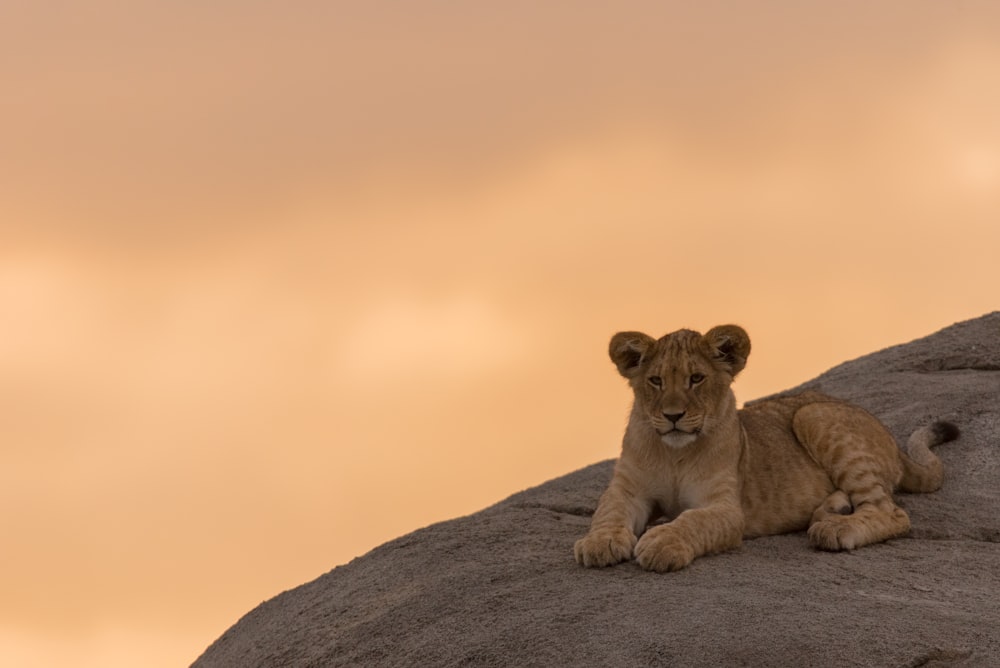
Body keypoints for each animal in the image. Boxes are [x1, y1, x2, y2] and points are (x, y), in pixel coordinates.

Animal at [580, 326, 960, 572]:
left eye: (696, 379)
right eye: (656, 381)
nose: (673, 416)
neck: (673, 452)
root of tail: (895, 444)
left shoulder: (726, 507)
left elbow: (693, 520)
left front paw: (661, 543)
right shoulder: (628, 489)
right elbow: (609, 512)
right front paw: (598, 543)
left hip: (813, 414)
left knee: (892, 512)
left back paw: (835, 528)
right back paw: (831, 509)